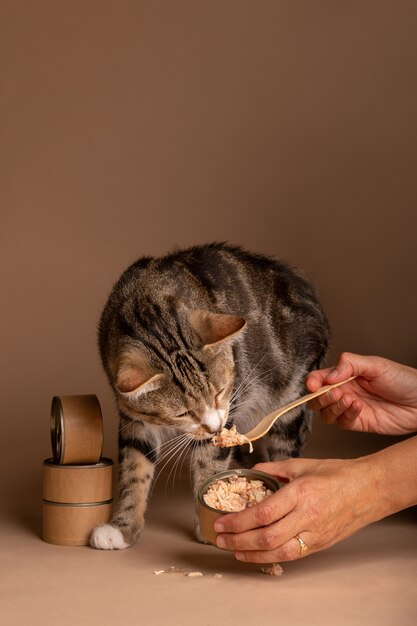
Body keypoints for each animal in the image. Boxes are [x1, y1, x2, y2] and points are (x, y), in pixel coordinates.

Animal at [90, 244, 328, 544]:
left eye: (221, 391)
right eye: (183, 413)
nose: (214, 428)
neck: (147, 305)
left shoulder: (227, 410)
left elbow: (209, 464)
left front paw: (209, 524)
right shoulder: (134, 417)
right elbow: (134, 469)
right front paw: (122, 528)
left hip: (292, 398)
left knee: (285, 447)